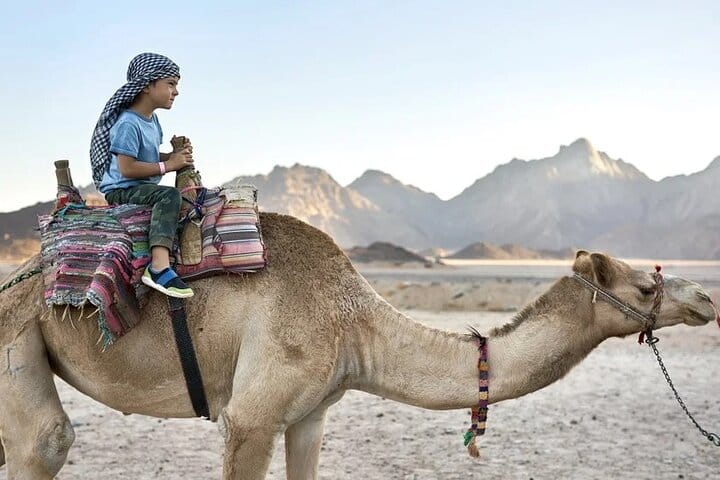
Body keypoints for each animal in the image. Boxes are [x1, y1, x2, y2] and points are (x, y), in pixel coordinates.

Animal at [0, 212, 716, 479]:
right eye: (643, 283)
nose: (706, 300)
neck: (356, 324)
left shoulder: (309, 415)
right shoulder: (251, 416)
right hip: (17, 331)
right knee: (46, 440)